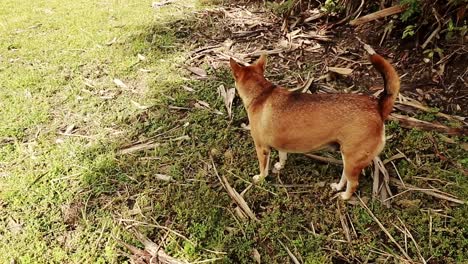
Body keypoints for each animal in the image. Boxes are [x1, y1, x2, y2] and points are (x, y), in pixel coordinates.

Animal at [229, 52, 398, 200]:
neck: (261, 93)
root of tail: (378, 108)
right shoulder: (281, 142)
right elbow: (282, 154)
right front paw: (280, 165)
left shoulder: (262, 148)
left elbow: (263, 168)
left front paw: (260, 178)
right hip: (348, 158)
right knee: (345, 176)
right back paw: (338, 187)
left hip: (352, 160)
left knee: (353, 183)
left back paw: (344, 197)